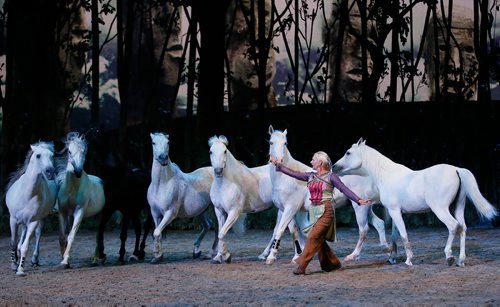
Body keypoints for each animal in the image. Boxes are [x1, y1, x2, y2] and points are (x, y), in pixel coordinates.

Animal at [5, 142, 57, 276]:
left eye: (52, 155)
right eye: (38, 155)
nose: (50, 172)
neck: (27, 194)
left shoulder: (33, 221)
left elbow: (25, 246)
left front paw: (20, 269)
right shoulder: (13, 220)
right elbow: (13, 242)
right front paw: (14, 264)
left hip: (40, 219)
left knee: (38, 234)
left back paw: (34, 260)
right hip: (22, 222)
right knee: (19, 239)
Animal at [57, 133, 105, 270]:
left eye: (84, 152)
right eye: (69, 151)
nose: (78, 172)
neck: (72, 189)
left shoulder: (79, 211)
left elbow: (71, 236)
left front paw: (65, 261)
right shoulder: (62, 212)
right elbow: (62, 237)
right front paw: (65, 261)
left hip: (101, 215)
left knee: (98, 235)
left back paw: (95, 260)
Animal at [146, 131, 217, 264]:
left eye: (168, 142)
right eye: (153, 142)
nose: (163, 158)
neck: (162, 184)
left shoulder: (170, 213)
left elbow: (157, 232)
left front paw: (157, 256)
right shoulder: (155, 214)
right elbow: (157, 234)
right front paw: (158, 256)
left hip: (215, 209)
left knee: (217, 228)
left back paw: (210, 253)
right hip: (201, 210)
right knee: (208, 225)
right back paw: (196, 251)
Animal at [268, 127, 388, 264]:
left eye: (285, 143)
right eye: (271, 142)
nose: (278, 161)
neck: (285, 179)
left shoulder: (291, 208)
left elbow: (281, 230)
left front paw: (271, 257)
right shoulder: (288, 210)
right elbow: (296, 231)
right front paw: (298, 255)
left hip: (360, 207)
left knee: (364, 229)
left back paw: (353, 255)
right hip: (367, 207)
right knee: (379, 223)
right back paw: (386, 250)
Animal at [332, 138, 496, 266]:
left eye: (348, 153)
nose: (334, 167)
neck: (386, 175)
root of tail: (456, 170)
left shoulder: (394, 211)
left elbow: (404, 234)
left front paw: (409, 260)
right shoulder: (395, 212)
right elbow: (395, 235)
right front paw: (392, 257)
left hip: (440, 209)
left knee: (453, 226)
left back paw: (449, 256)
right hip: (458, 207)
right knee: (462, 228)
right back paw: (461, 260)